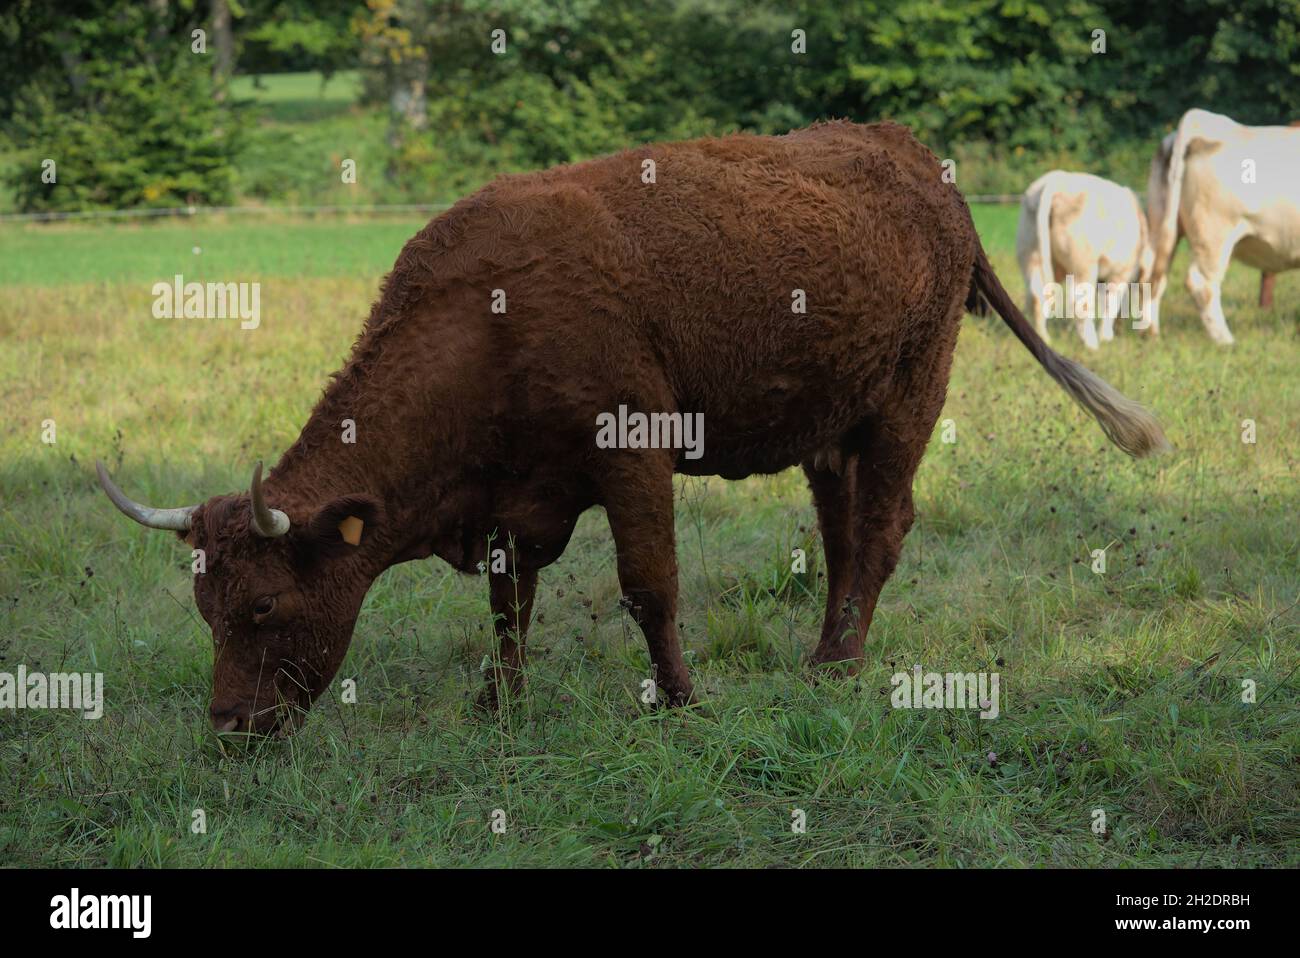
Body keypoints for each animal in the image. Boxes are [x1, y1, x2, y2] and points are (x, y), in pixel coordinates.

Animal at [1013, 171, 1149, 350]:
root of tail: (1056, 180)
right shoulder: (1121, 272)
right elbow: (1111, 303)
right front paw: (1106, 337)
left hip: (1030, 252)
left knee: (1037, 295)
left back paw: (1043, 338)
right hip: (1083, 264)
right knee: (1080, 302)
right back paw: (1091, 344)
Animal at [1149, 110, 1300, 343]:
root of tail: (1202, 120)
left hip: (1161, 224)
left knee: (1151, 274)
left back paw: (1150, 334)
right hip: (1215, 233)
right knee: (1201, 283)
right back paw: (1225, 341)